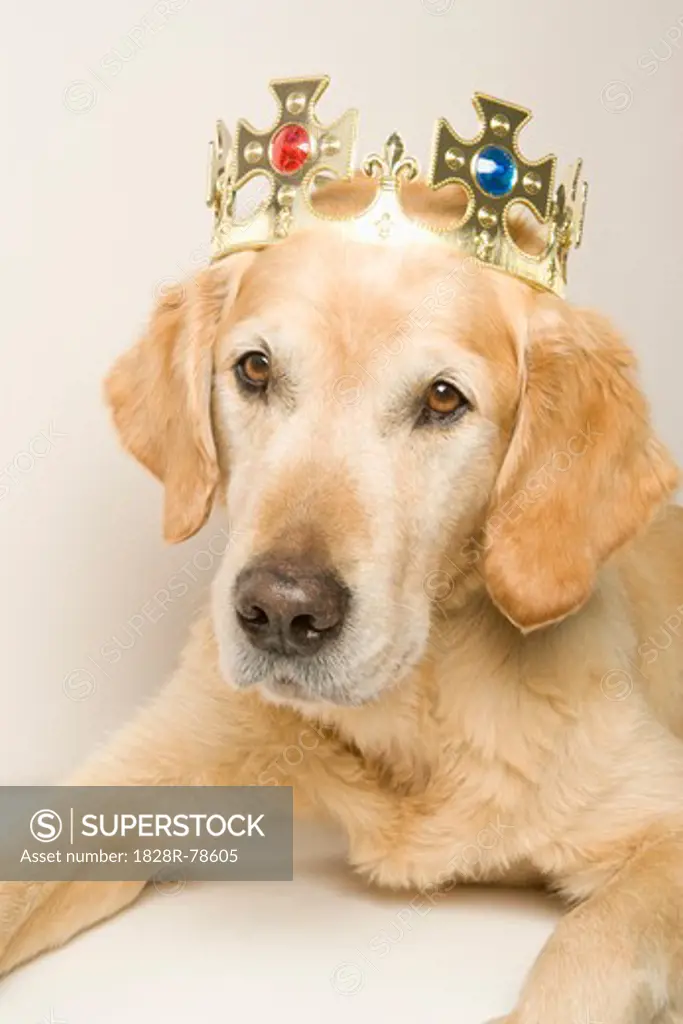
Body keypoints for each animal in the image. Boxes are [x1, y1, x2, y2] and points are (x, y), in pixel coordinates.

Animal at [1, 180, 683, 1019]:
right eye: (255, 369)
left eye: (442, 399)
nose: (282, 613)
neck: (412, 716)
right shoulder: (136, 775)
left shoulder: (660, 826)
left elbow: (590, 944)